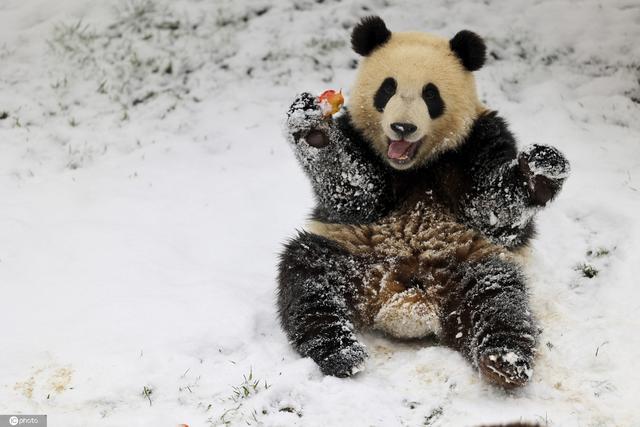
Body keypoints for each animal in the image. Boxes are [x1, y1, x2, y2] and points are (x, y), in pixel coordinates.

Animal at [277, 16, 569, 388]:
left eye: (431, 94)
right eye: (387, 89)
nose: (403, 127)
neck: (416, 166)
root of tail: (404, 297)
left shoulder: (480, 139)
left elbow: (492, 209)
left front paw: (540, 171)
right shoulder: (359, 147)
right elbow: (352, 194)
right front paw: (313, 128)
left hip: (471, 262)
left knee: (499, 299)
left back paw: (505, 361)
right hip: (349, 253)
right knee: (307, 278)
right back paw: (340, 353)